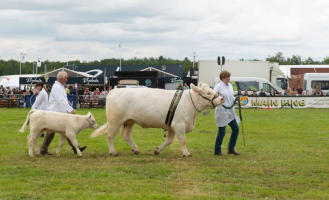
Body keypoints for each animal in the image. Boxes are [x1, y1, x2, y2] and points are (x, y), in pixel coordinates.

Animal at [89, 82, 223, 157]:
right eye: (208, 93)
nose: (221, 98)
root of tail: (113, 90)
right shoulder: (179, 125)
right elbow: (182, 140)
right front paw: (186, 153)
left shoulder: (172, 126)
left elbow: (169, 141)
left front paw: (157, 150)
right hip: (115, 120)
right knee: (110, 135)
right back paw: (113, 152)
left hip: (129, 121)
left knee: (125, 135)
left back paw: (136, 150)